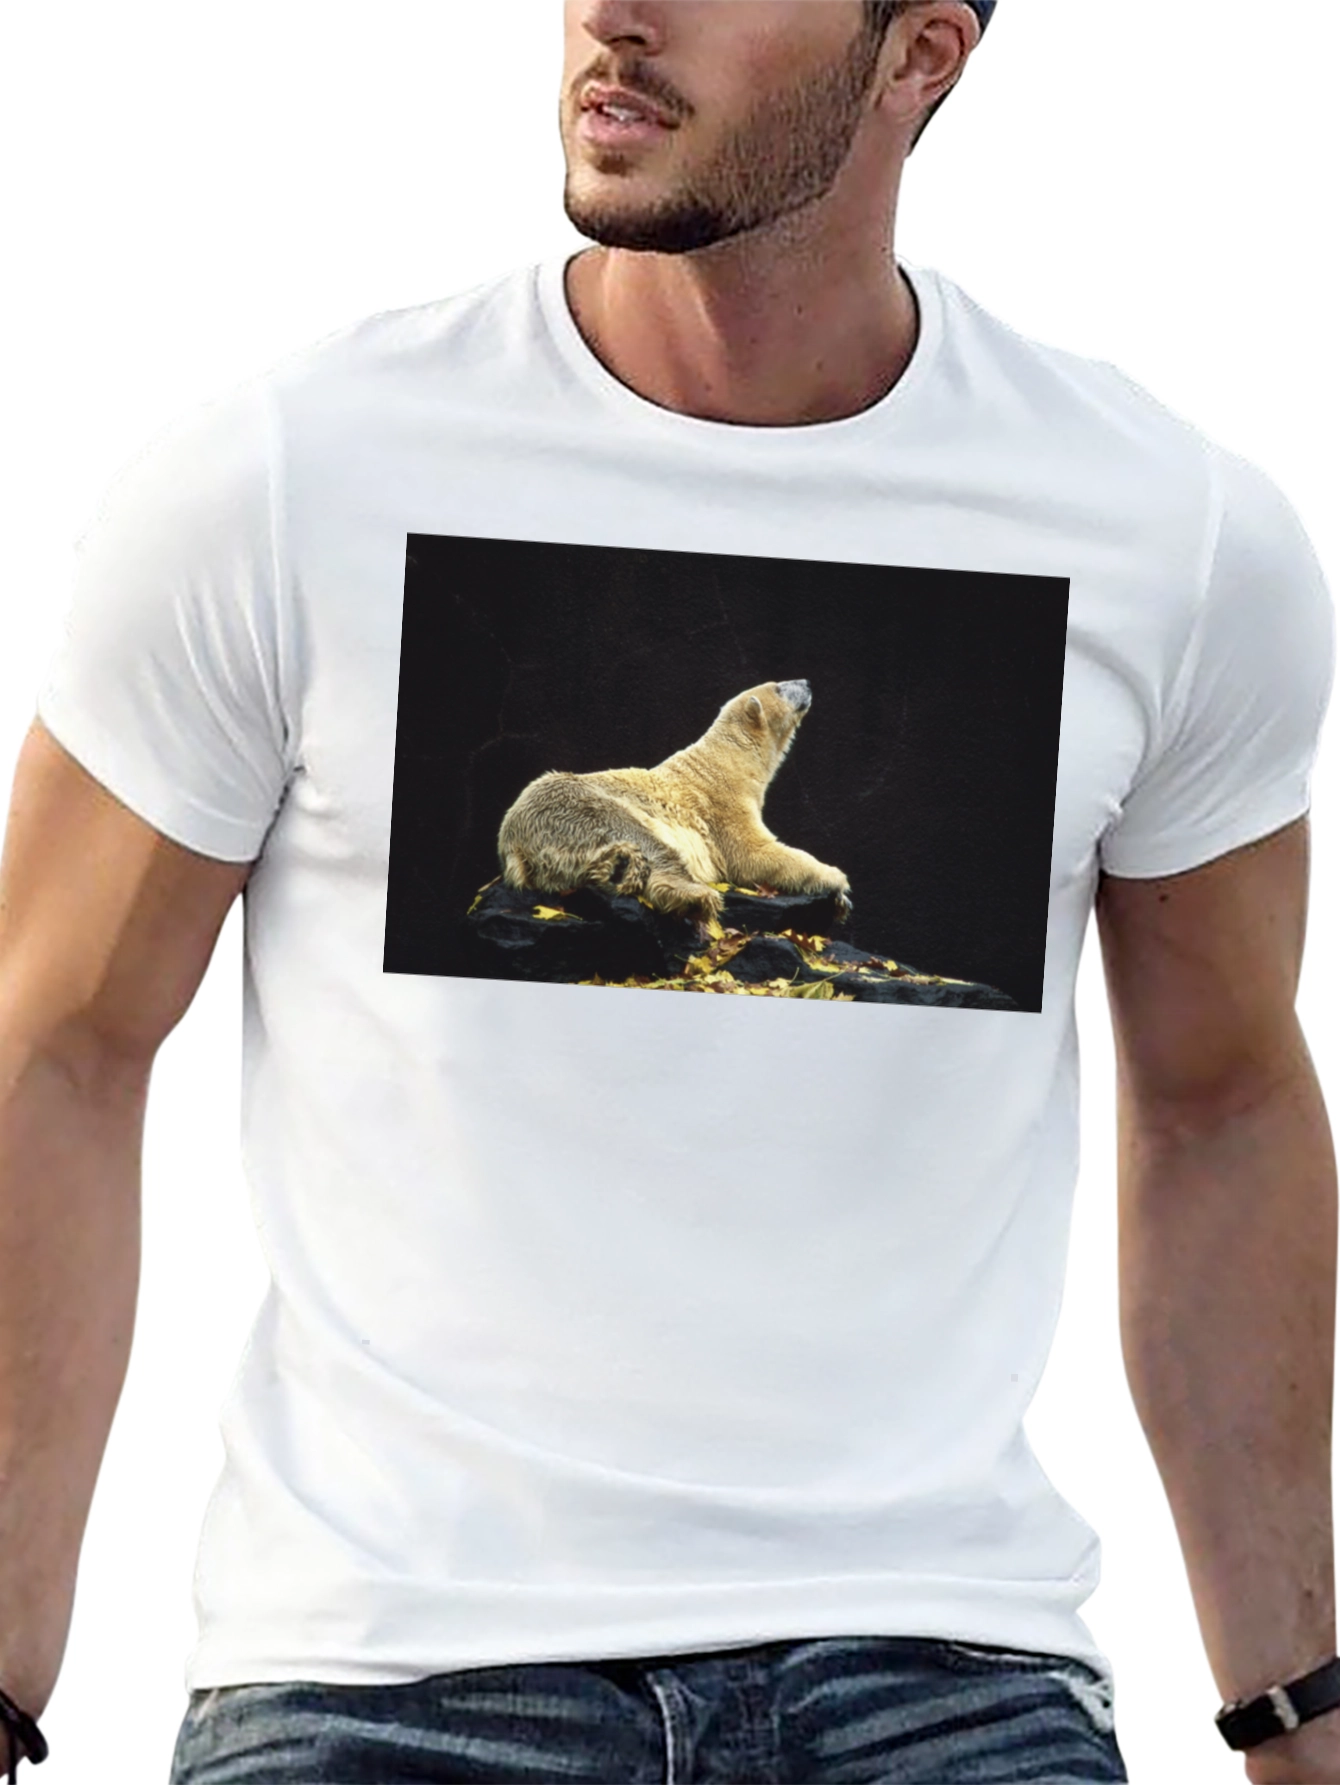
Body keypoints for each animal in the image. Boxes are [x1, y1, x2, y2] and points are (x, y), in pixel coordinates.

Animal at [496, 678, 851, 927]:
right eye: (778, 687)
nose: (807, 682)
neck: (726, 762)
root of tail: (513, 840)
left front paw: (841, 902)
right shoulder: (722, 807)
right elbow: (752, 853)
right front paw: (837, 880)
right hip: (577, 806)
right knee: (643, 841)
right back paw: (696, 897)